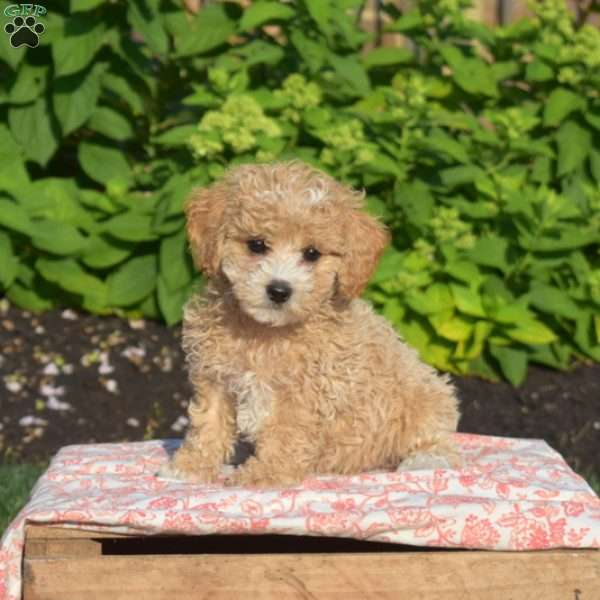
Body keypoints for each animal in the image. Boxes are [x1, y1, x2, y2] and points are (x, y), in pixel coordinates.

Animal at [158, 161, 460, 488]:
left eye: (312, 253)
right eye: (256, 245)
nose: (279, 290)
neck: (265, 332)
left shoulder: (304, 395)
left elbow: (285, 436)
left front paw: (264, 475)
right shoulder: (216, 379)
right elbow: (208, 425)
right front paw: (190, 467)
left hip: (427, 399)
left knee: (436, 440)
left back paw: (424, 460)